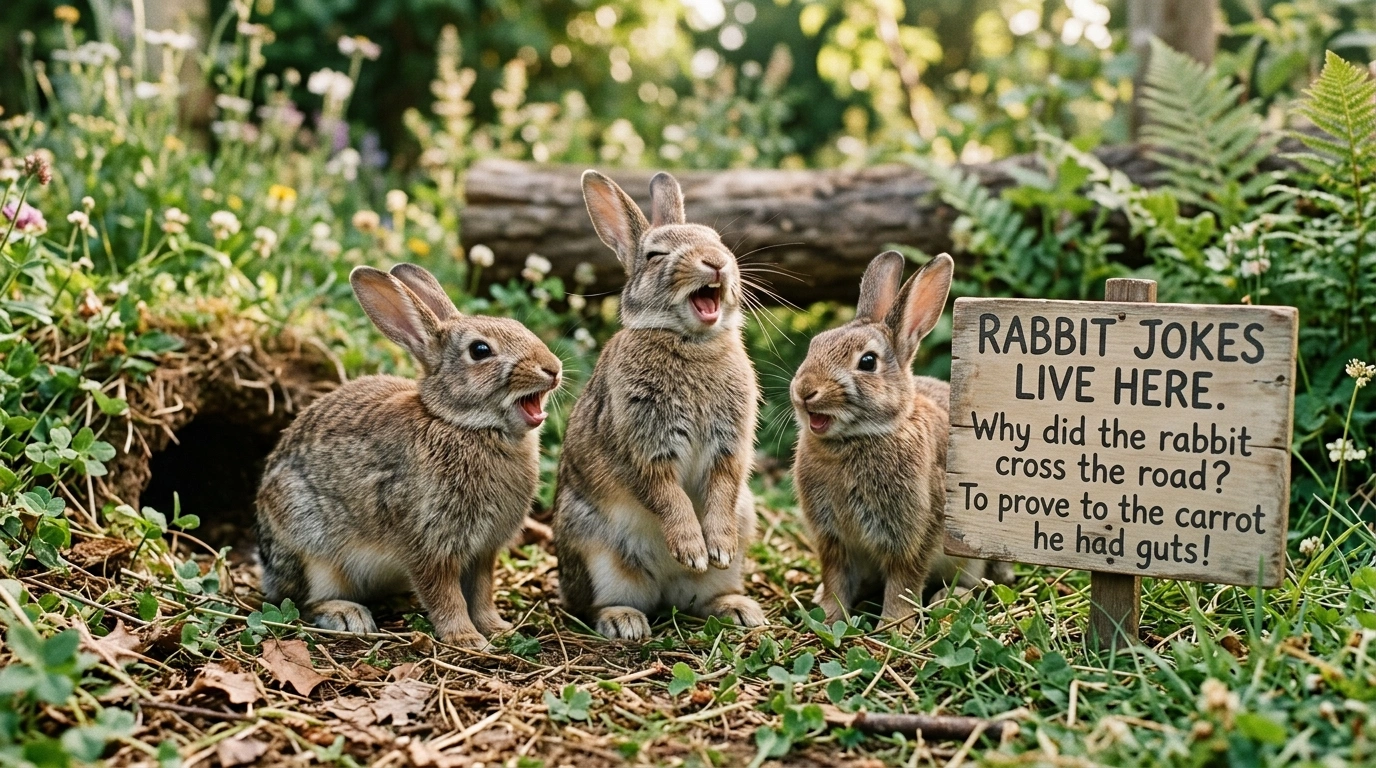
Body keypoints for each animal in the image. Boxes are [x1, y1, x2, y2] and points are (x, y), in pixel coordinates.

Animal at [255, 263, 562, 648]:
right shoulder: (428, 542)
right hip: (311, 548)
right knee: (306, 599)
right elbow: (444, 594)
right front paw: (465, 638)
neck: (461, 424)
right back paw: (347, 615)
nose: (552, 368)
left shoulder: (483, 552)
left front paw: (497, 628)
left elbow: (481, 592)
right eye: (480, 350)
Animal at [553, 170, 765, 641]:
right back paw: (624, 620)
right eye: (655, 255)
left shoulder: (730, 446)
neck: (691, 341)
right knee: (597, 604)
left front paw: (715, 547)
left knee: (701, 598)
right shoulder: (643, 445)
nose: (716, 263)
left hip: (742, 523)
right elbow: (667, 494)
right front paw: (692, 548)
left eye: (718, 241)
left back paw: (737, 607)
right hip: (594, 549)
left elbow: (722, 484)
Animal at [791, 250, 980, 629]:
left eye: (867, 362)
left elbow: (903, 581)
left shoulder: (914, 533)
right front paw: (829, 617)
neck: (855, 439)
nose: (804, 391)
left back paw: (947, 598)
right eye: (815, 345)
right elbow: (835, 578)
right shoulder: (832, 540)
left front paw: (895, 626)